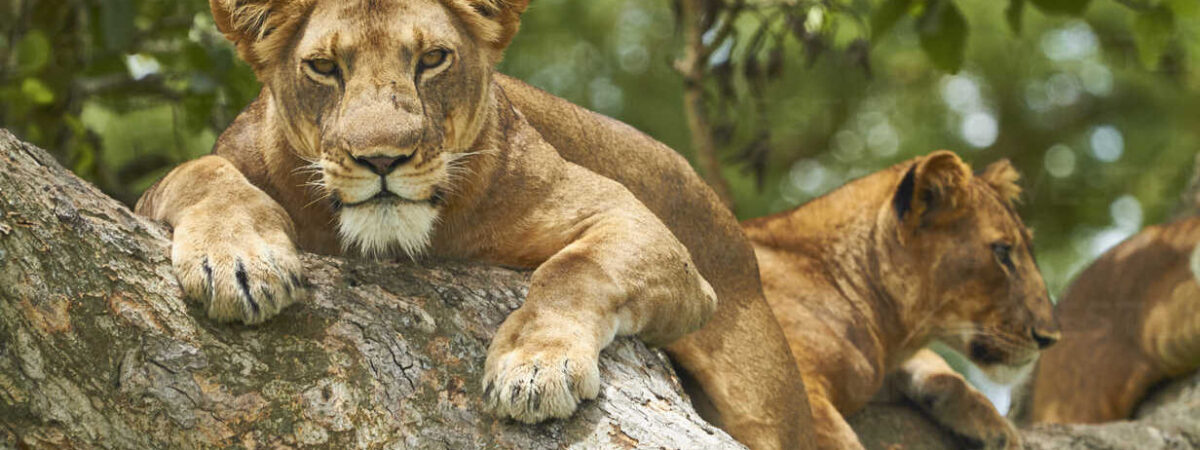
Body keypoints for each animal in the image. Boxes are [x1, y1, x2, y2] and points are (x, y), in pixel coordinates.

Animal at [134, 0, 814, 448]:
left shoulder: (635, 224)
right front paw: (238, 262)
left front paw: (534, 366)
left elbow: (574, 268)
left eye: (432, 59)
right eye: (325, 68)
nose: (383, 159)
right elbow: (201, 172)